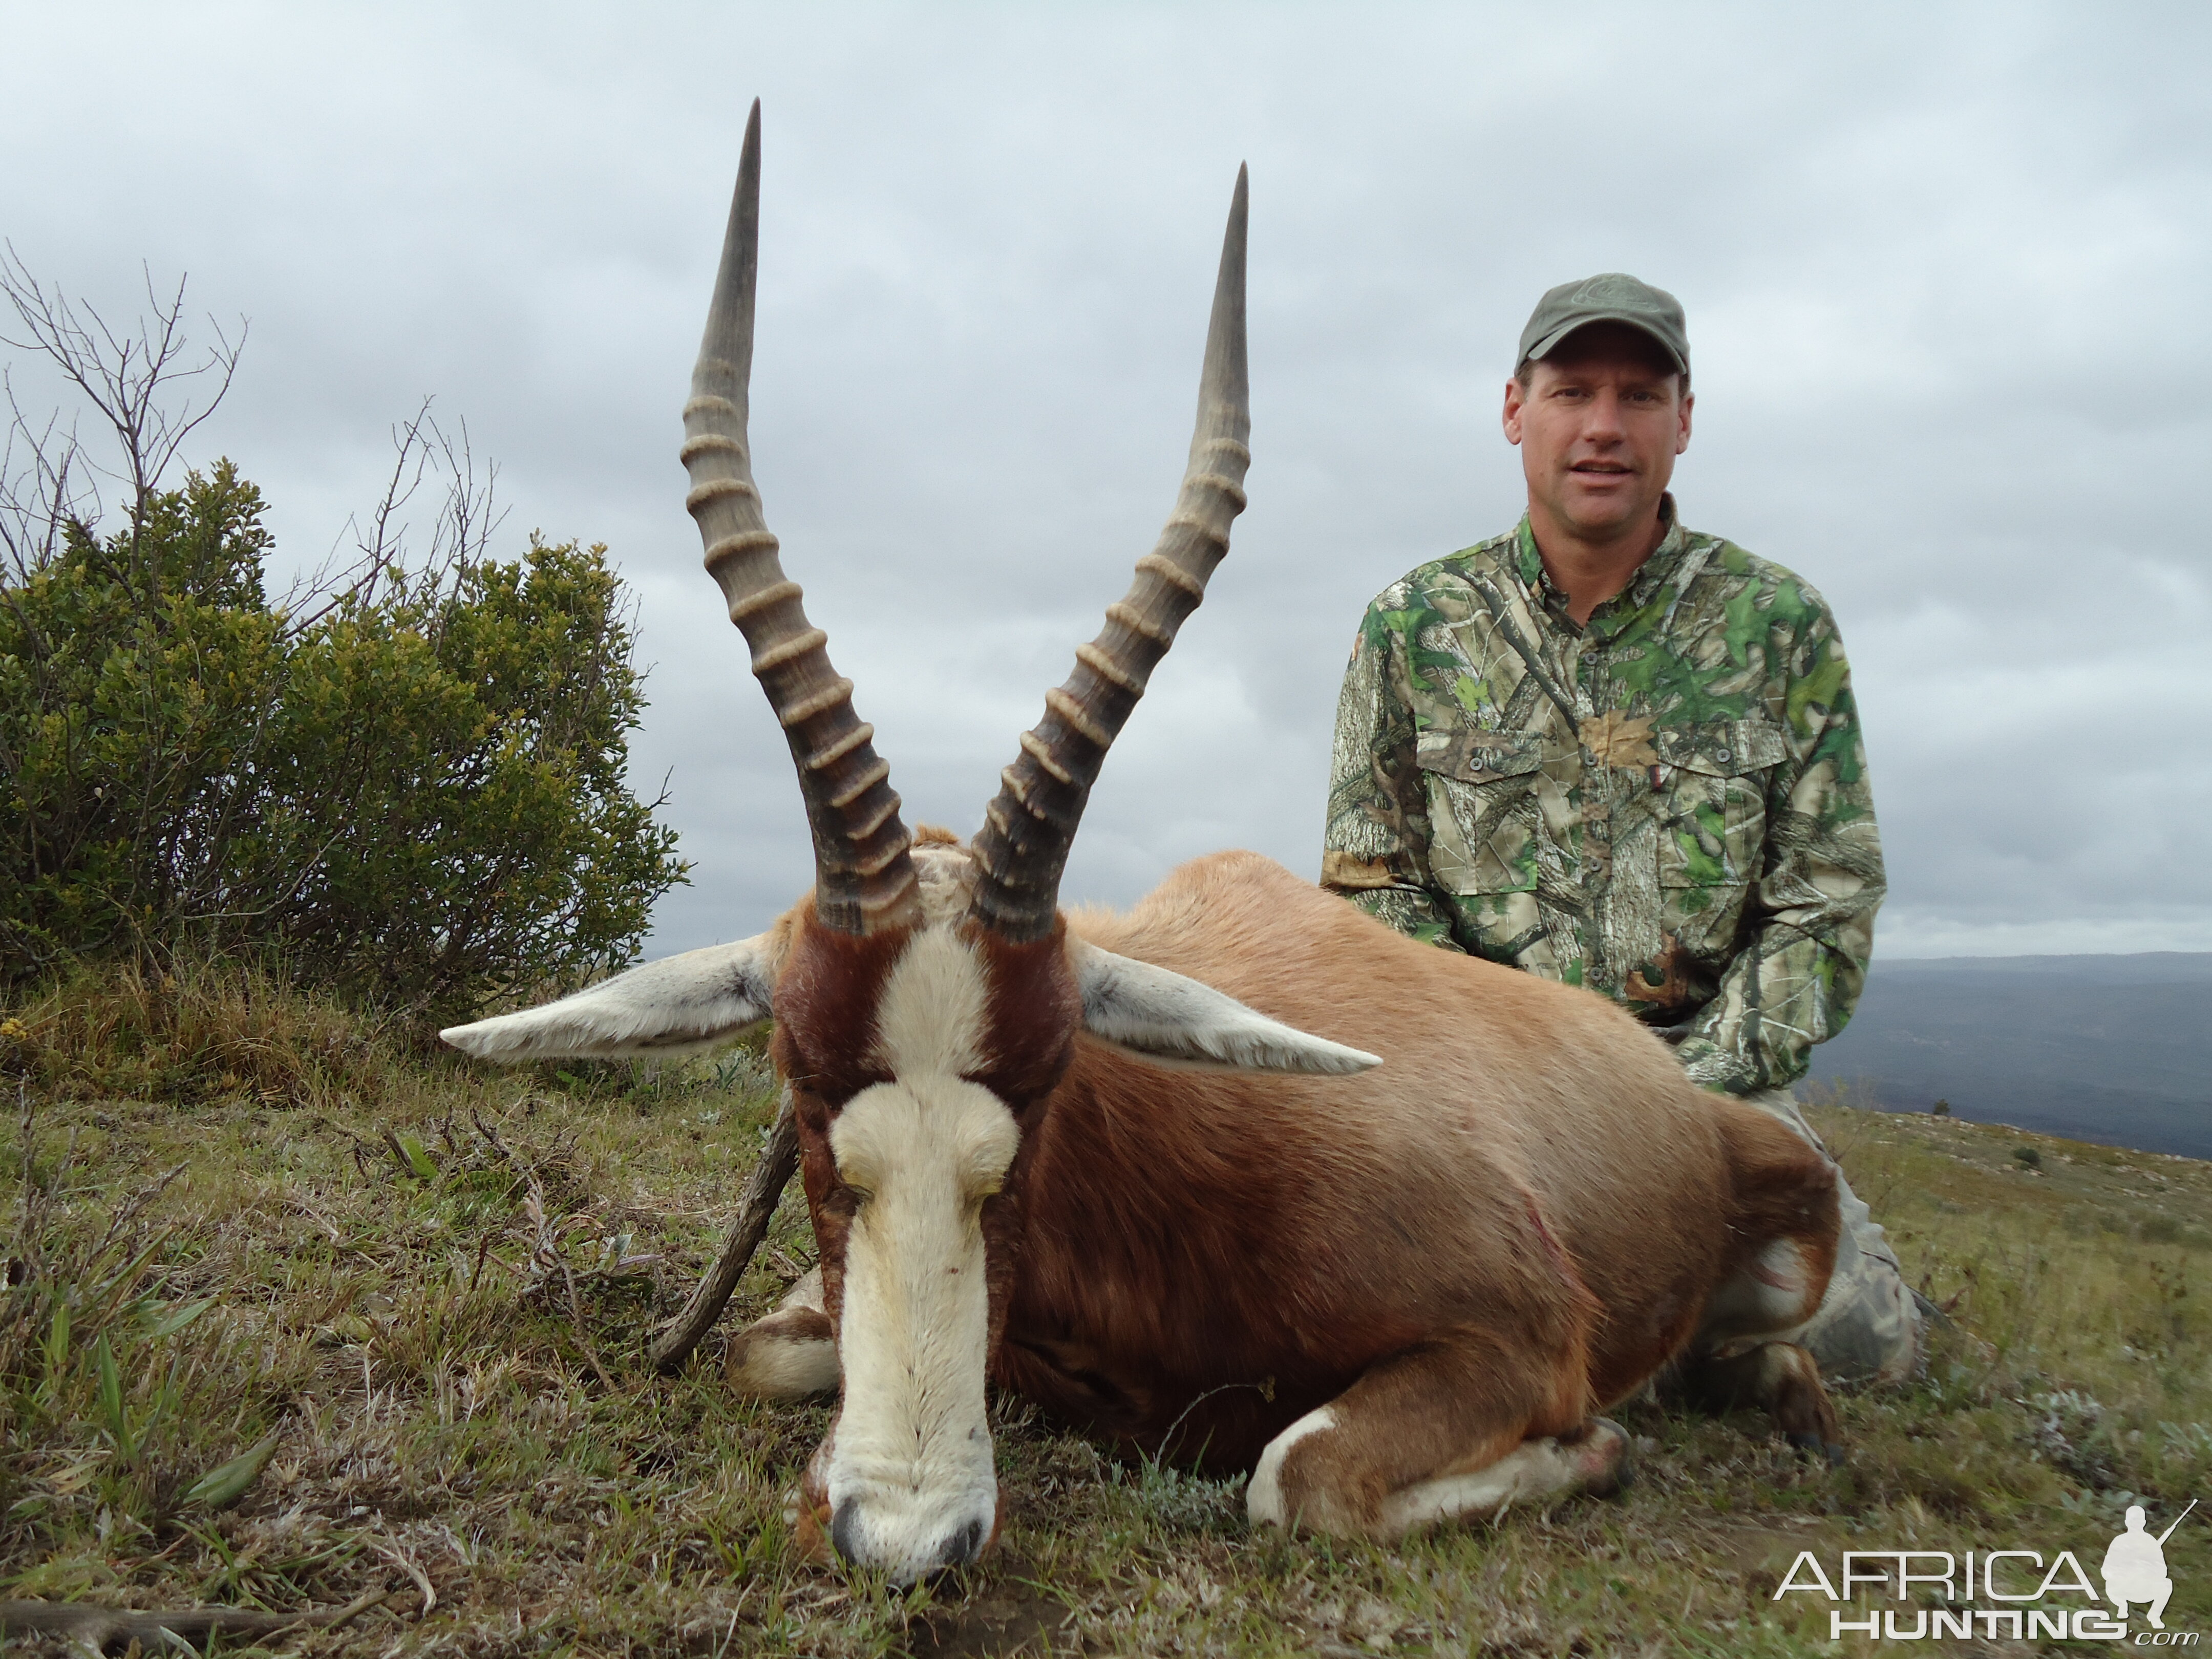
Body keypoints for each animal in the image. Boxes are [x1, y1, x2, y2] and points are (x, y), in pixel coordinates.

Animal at [440, 104, 1840, 1584]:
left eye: (1039, 1108)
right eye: (807, 1104)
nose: (911, 1536)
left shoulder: (1519, 1335)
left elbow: (1298, 1474)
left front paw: (1600, 1448)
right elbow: (755, 1354)